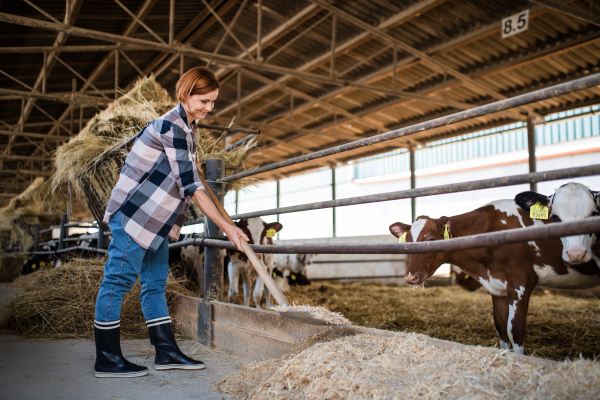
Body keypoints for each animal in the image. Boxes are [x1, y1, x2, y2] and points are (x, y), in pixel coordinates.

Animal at [390, 197, 600, 354]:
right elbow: (501, 327)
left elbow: (516, 330)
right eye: (407, 242)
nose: (410, 277)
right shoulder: (497, 287)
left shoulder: (521, 281)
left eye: (432, 239)